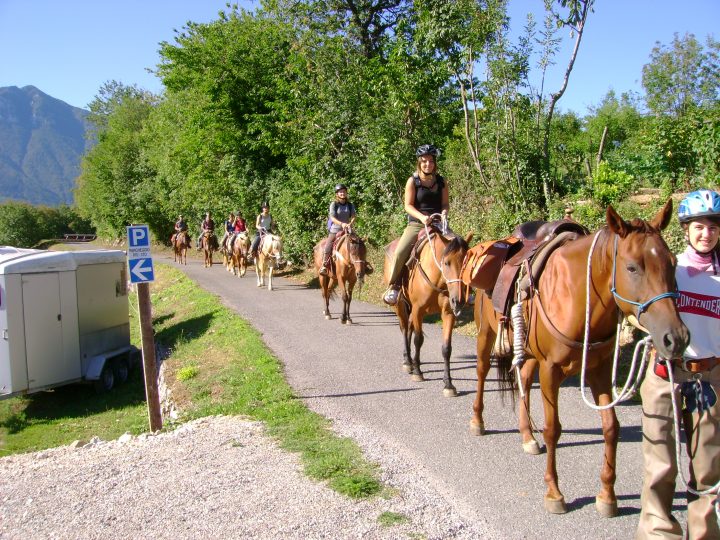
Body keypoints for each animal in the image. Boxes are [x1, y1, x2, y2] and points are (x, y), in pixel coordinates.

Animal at [382, 219, 472, 396]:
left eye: (466, 263)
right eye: (446, 262)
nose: (458, 300)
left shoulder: (448, 313)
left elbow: (446, 348)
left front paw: (448, 384)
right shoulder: (418, 310)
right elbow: (418, 340)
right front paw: (418, 372)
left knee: (409, 329)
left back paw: (412, 361)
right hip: (400, 306)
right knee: (405, 329)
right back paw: (408, 362)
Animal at [470, 200, 688, 516]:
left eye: (673, 263)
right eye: (632, 267)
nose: (676, 337)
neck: (577, 296)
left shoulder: (599, 371)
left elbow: (611, 428)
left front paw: (607, 496)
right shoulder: (551, 370)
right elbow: (553, 430)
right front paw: (554, 493)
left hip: (530, 353)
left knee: (524, 379)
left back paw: (527, 437)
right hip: (487, 333)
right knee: (482, 370)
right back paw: (478, 421)